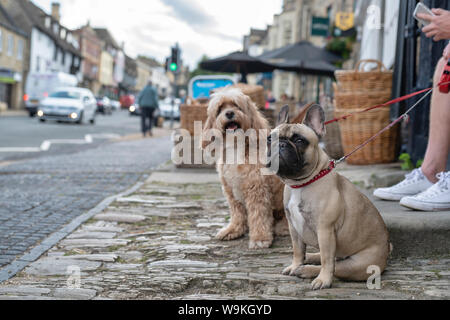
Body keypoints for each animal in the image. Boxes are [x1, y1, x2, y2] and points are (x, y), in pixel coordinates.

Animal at [202, 87, 286, 250]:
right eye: (220, 108)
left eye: (236, 105)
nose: (229, 113)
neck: (236, 147)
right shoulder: (231, 191)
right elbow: (237, 214)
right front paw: (233, 230)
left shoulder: (256, 189)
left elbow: (258, 216)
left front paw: (260, 238)